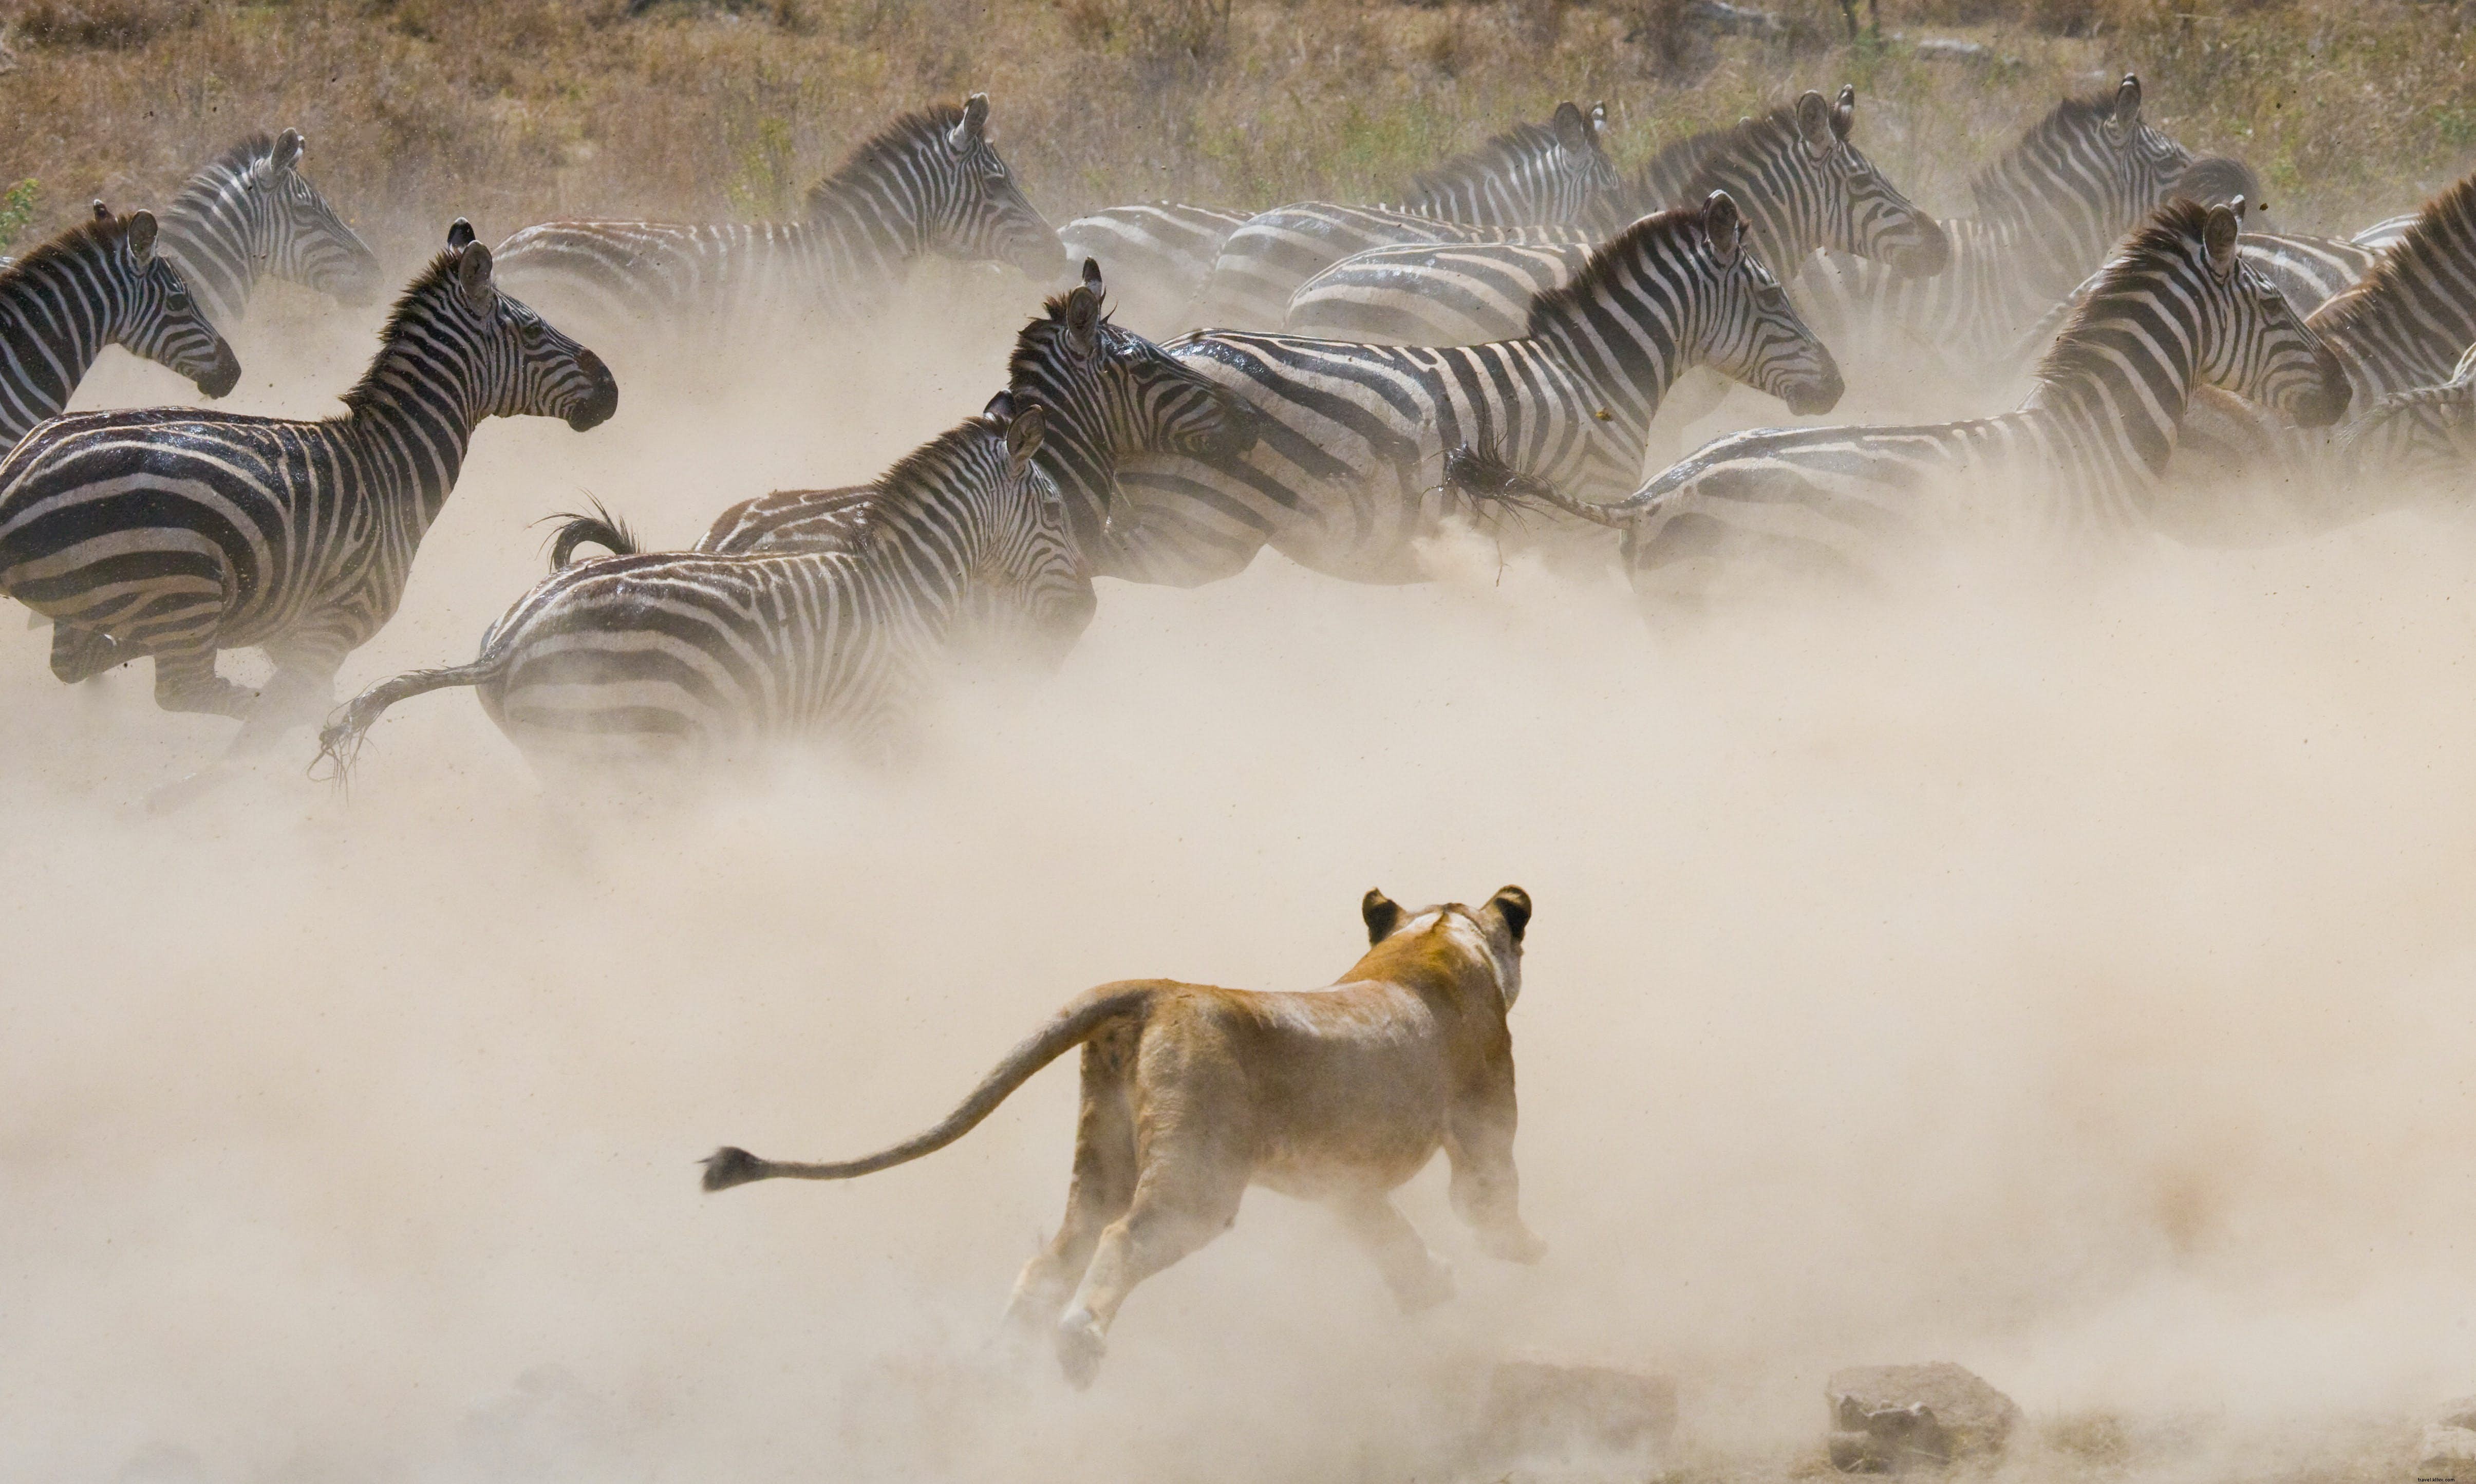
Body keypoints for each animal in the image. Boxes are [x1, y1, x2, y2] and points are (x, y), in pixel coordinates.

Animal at [702, 884, 1544, 1387]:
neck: (1438, 936)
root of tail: (1158, 989)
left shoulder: (1342, 1182)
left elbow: (1385, 1234)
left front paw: (1429, 1289)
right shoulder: (1482, 1122)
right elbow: (1486, 1202)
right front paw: (1523, 1253)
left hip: (1102, 1154)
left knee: (1054, 1256)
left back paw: (1004, 1363)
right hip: (1197, 1183)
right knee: (1122, 1239)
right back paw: (1077, 1349)